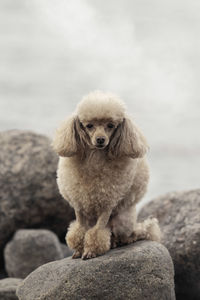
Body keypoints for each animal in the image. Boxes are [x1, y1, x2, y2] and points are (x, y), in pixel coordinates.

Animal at [52, 90, 161, 258]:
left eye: (110, 125)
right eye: (89, 126)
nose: (100, 140)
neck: (95, 157)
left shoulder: (107, 203)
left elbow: (98, 230)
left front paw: (91, 250)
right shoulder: (79, 204)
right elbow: (80, 229)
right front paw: (78, 249)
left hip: (121, 221)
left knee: (125, 234)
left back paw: (122, 240)